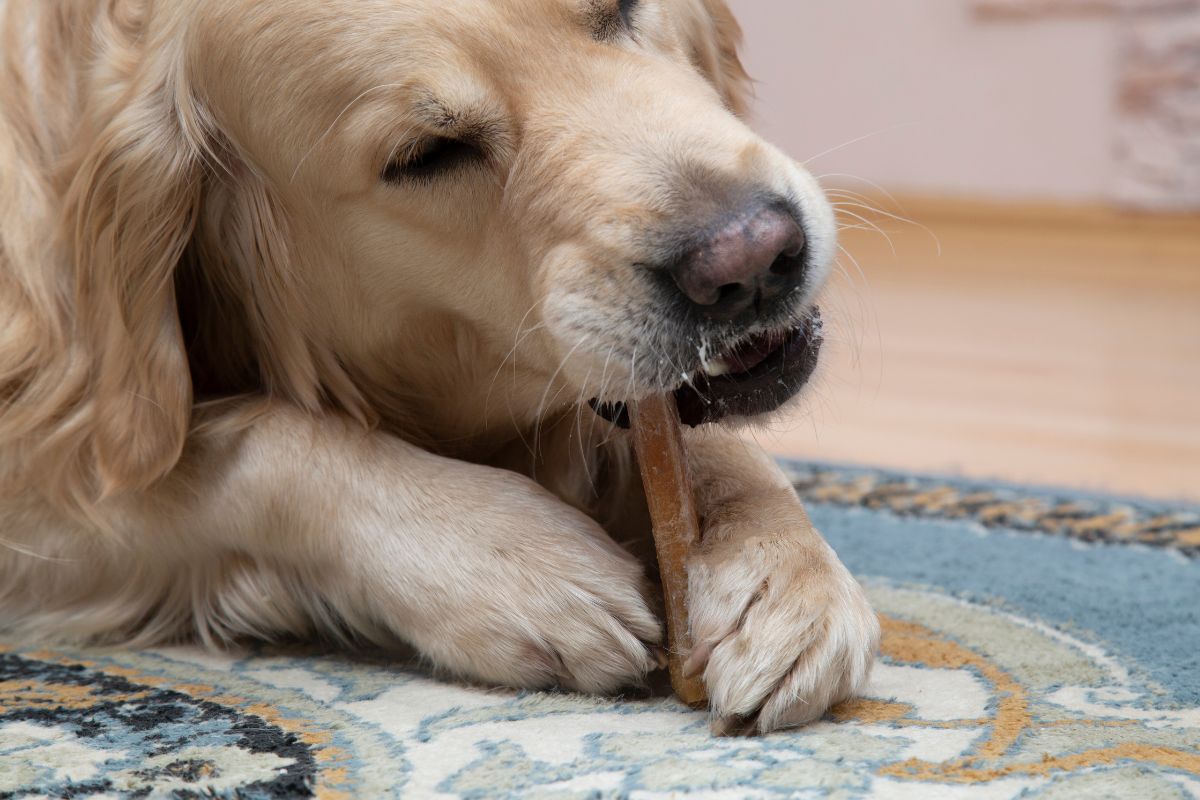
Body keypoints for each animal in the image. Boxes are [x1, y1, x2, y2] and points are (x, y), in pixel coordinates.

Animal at [0, 0, 883, 734]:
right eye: (428, 155)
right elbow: (262, 442)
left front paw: (779, 571)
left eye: (622, 7)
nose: (751, 260)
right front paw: (517, 567)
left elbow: (708, 446)